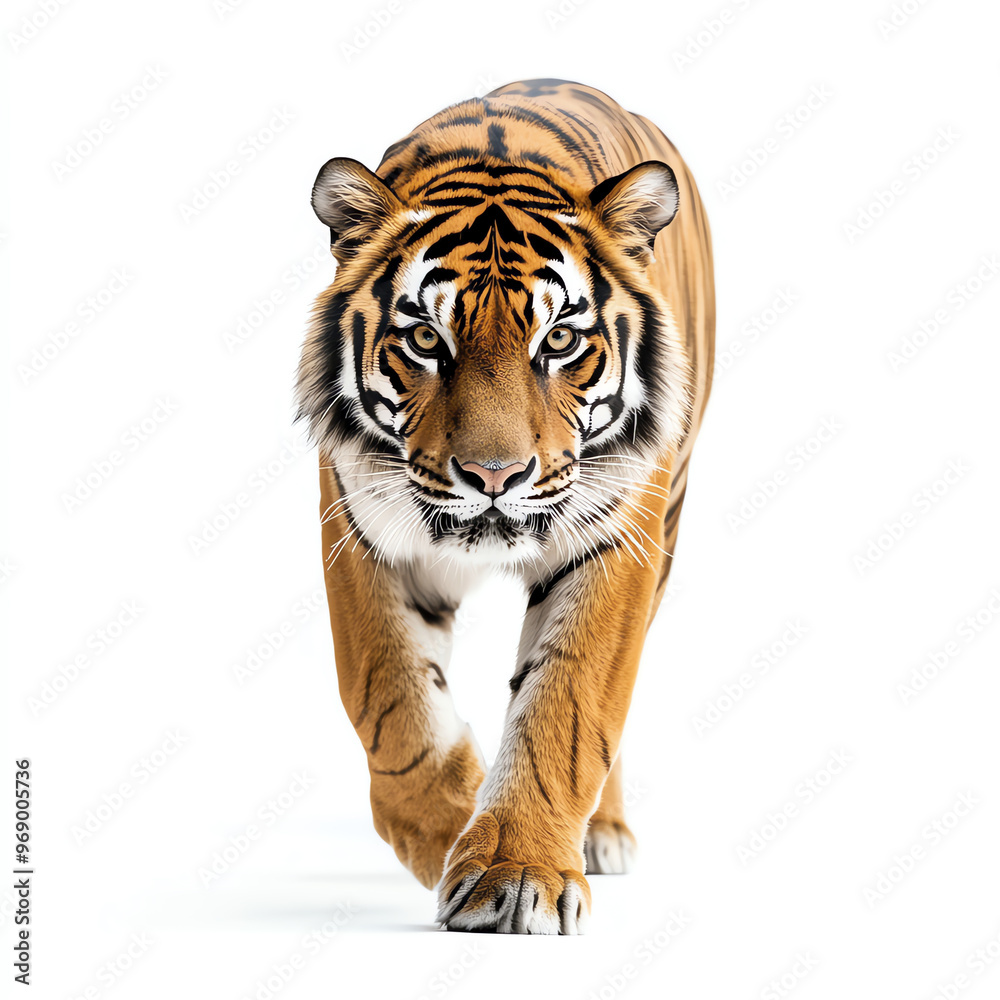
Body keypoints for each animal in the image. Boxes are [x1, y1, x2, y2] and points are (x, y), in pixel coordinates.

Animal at [295, 78, 714, 934]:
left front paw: (515, 871)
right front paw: (450, 832)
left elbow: (572, 705)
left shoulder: (621, 536)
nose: (495, 475)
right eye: (426, 339)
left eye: (558, 342)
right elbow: (390, 699)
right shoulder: (358, 525)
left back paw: (601, 834)